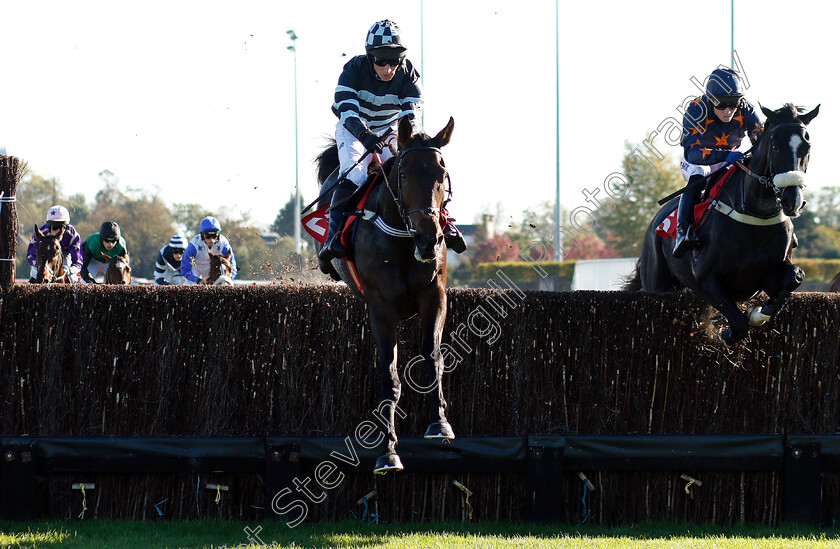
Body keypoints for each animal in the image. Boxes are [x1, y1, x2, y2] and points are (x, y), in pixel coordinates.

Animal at [314, 114, 456, 470]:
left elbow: (433, 357)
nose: (429, 239)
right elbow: (389, 375)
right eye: (404, 175)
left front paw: (439, 424)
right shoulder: (380, 306)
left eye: (442, 174)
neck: (404, 240)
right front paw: (387, 452)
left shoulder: (435, 296)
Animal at [632, 103, 820, 342]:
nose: (793, 201)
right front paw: (727, 331)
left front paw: (757, 313)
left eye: (807, 146)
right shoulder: (707, 279)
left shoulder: (767, 276)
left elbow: (794, 277)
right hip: (656, 282)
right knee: (696, 175)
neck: (755, 215)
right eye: (775, 146)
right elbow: (739, 324)